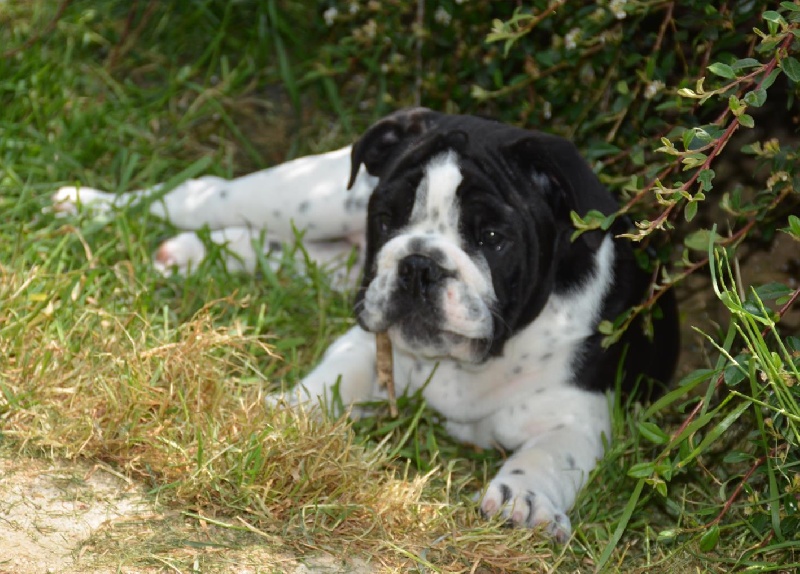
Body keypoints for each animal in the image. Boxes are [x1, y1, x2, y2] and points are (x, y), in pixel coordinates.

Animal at [53, 108, 679, 542]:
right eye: (388, 217)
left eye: (492, 237)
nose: (419, 262)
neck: (478, 361)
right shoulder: (367, 343)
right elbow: (324, 387)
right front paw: (283, 417)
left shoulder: (584, 414)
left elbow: (549, 455)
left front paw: (522, 499)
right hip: (307, 197)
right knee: (198, 194)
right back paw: (87, 205)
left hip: (322, 251)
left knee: (268, 247)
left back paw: (186, 255)